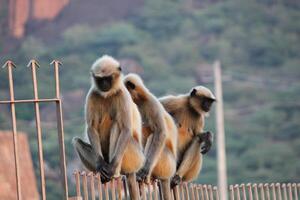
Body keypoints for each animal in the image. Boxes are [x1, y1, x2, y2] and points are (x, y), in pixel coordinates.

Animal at [71, 55, 144, 200]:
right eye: (100, 80)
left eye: (108, 78)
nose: (104, 85)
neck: (108, 94)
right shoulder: (93, 94)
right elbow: (91, 127)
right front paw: (100, 165)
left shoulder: (123, 94)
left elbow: (126, 129)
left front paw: (111, 169)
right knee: (77, 142)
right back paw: (102, 173)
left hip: (134, 156)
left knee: (117, 125)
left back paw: (113, 172)